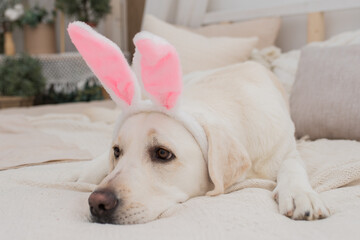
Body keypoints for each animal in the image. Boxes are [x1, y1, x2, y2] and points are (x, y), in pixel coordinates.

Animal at [67, 21, 330, 224]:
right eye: (117, 152)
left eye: (162, 153)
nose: (97, 203)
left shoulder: (285, 148)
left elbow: (292, 165)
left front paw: (299, 194)